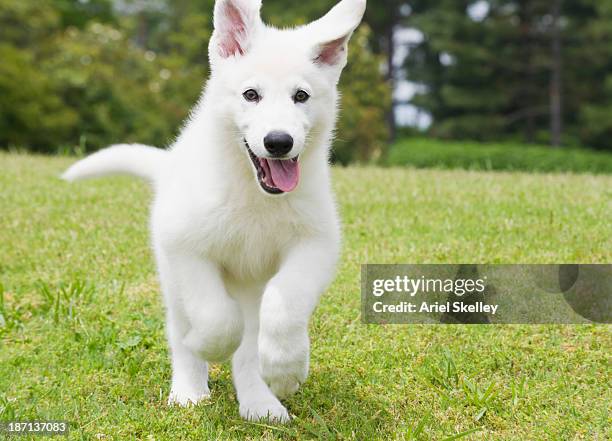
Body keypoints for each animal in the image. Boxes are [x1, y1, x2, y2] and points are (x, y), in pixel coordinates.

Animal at [64, 0, 366, 422]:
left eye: (301, 96)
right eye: (251, 94)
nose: (278, 142)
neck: (254, 194)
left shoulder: (316, 244)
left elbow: (285, 301)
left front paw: (286, 368)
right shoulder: (186, 248)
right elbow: (215, 316)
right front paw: (208, 347)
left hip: (250, 288)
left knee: (250, 342)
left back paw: (261, 403)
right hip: (173, 279)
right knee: (183, 330)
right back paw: (189, 390)